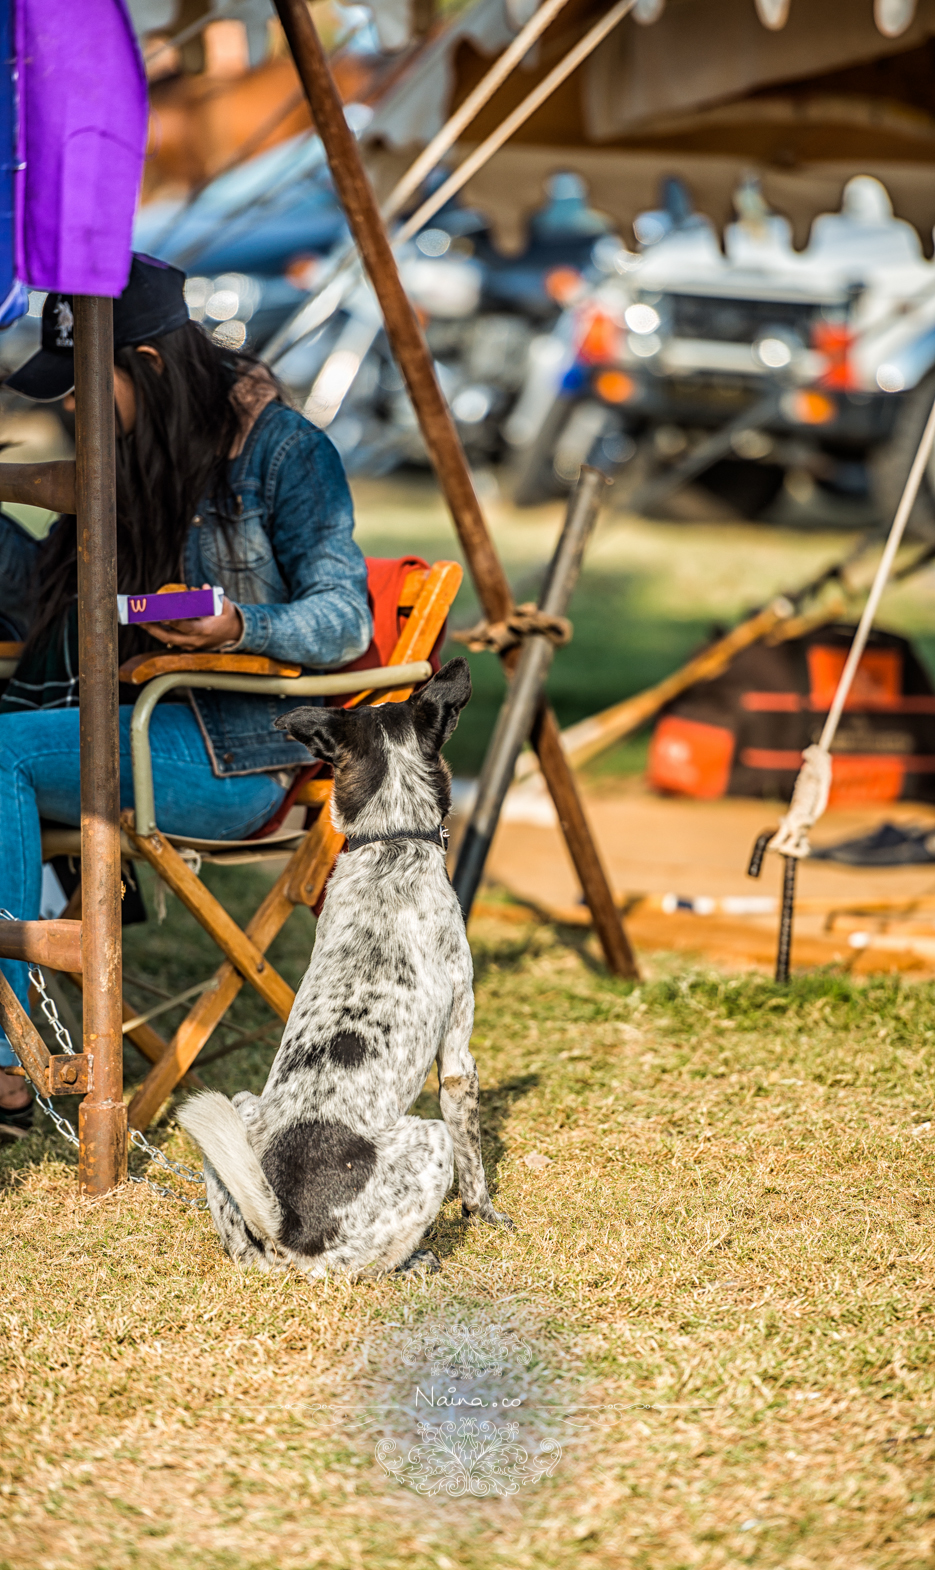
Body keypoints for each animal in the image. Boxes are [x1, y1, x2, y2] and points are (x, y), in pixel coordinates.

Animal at [177, 656, 511, 1281]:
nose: (455, 661)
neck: (391, 843)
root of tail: (283, 1227)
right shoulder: (458, 1058)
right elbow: (475, 1167)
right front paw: (486, 1214)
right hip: (429, 1140)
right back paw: (417, 1260)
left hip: (241, 1109)